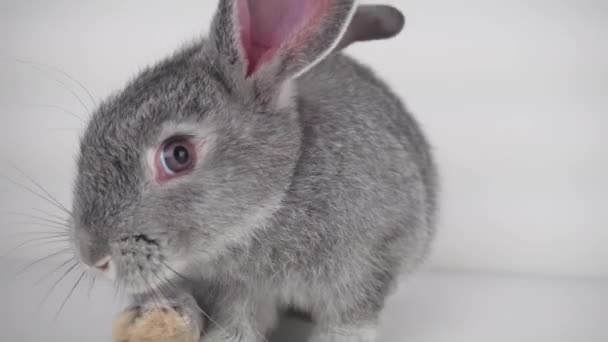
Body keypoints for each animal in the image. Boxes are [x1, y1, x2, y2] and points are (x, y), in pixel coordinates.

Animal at [70, 1, 436, 340]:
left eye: (178, 155)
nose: (93, 256)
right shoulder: (235, 292)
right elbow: (235, 322)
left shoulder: (372, 264)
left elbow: (350, 320)